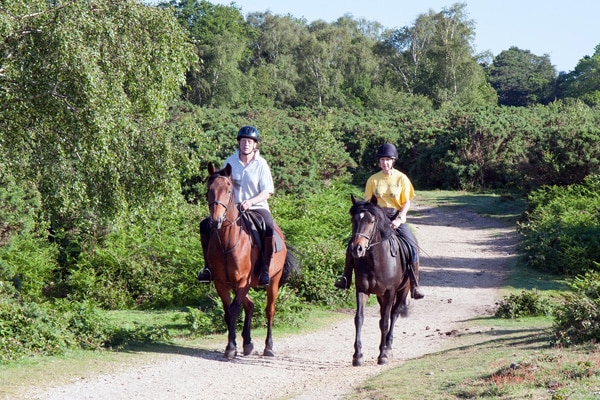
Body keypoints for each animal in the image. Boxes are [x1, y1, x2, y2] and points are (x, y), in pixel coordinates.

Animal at [204, 162, 296, 360]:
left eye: (228, 190)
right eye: (209, 190)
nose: (215, 221)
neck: (226, 242)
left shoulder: (242, 281)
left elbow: (233, 310)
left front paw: (231, 348)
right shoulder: (221, 283)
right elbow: (228, 311)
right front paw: (233, 345)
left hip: (273, 281)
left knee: (269, 310)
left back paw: (268, 347)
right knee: (250, 305)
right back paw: (247, 343)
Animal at [346, 194, 412, 366]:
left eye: (371, 221)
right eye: (353, 220)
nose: (357, 249)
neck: (375, 261)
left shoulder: (390, 292)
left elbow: (385, 322)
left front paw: (383, 355)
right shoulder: (362, 290)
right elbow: (359, 319)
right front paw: (357, 356)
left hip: (402, 291)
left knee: (393, 315)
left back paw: (388, 348)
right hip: (380, 296)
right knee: (384, 314)